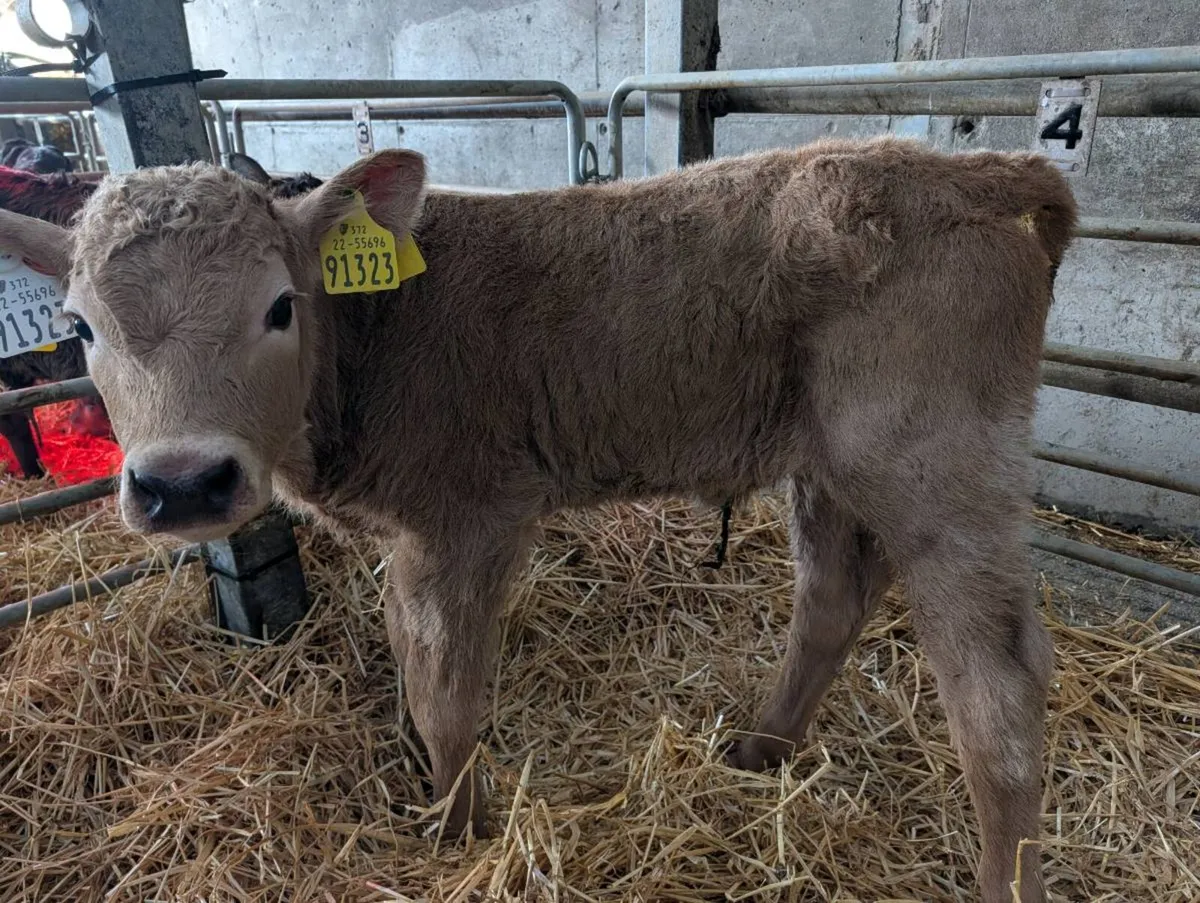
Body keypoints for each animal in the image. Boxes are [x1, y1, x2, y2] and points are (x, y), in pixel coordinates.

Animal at [0, 136, 1077, 903]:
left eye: (278, 307)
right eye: (81, 327)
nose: (183, 484)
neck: (377, 333)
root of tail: (985, 169)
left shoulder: (468, 518)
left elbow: (447, 686)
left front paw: (457, 827)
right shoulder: (410, 536)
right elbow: (408, 656)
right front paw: (427, 780)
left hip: (938, 462)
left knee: (1001, 687)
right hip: (829, 466)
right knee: (832, 599)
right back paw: (760, 750)